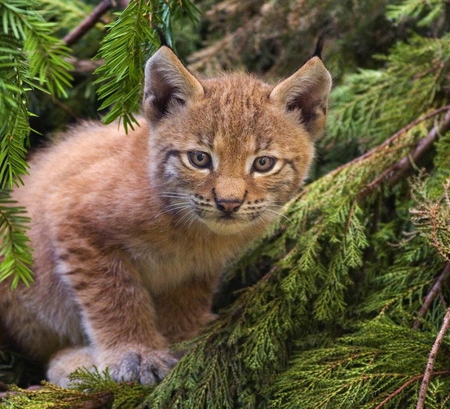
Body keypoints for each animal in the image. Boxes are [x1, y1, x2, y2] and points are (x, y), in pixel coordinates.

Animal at [0, 46, 330, 384]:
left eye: (263, 163)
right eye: (199, 158)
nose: (228, 203)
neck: (192, 229)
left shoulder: (197, 267)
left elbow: (187, 297)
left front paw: (183, 339)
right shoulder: (71, 213)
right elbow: (115, 296)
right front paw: (135, 354)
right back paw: (75, 365)